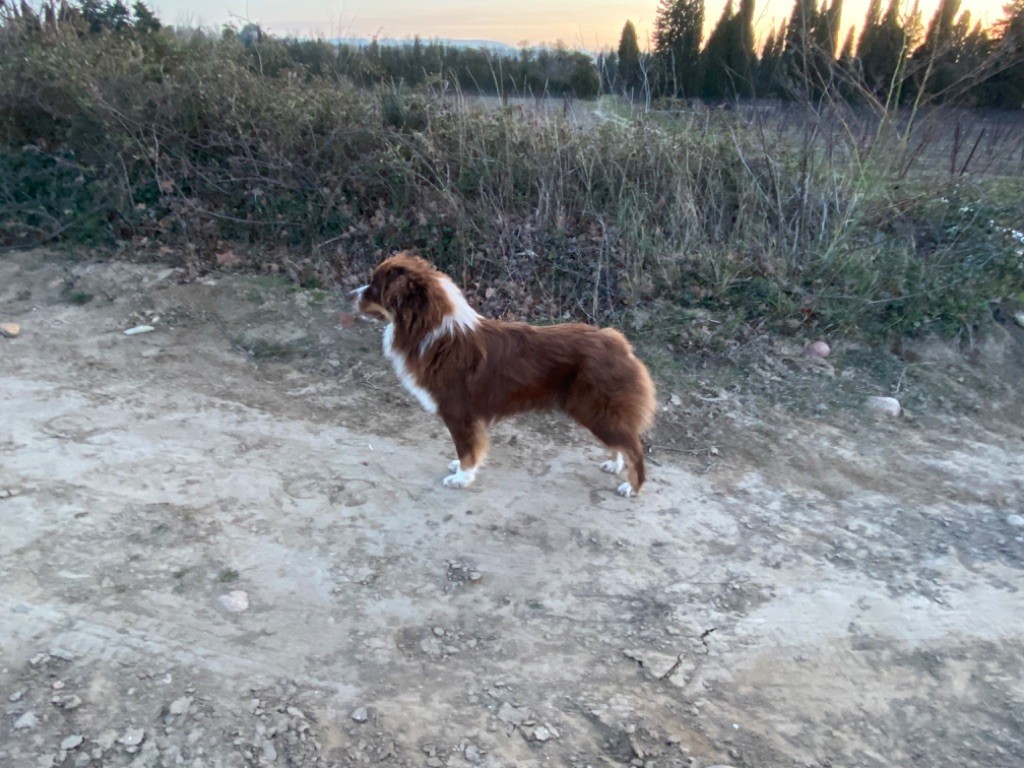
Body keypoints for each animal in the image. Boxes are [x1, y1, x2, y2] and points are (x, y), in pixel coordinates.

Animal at [352, 252, 655, 499]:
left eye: (375, 287)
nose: (350, 295)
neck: (431, 330)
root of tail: (619, 343)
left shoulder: (458, 412)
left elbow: (466, 449)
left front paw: (461, 478)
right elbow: (467, 448)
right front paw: (459, 468)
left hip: (597, 410)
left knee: (634, 447)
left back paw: (632, 486)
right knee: (623, 443)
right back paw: (615, 464)